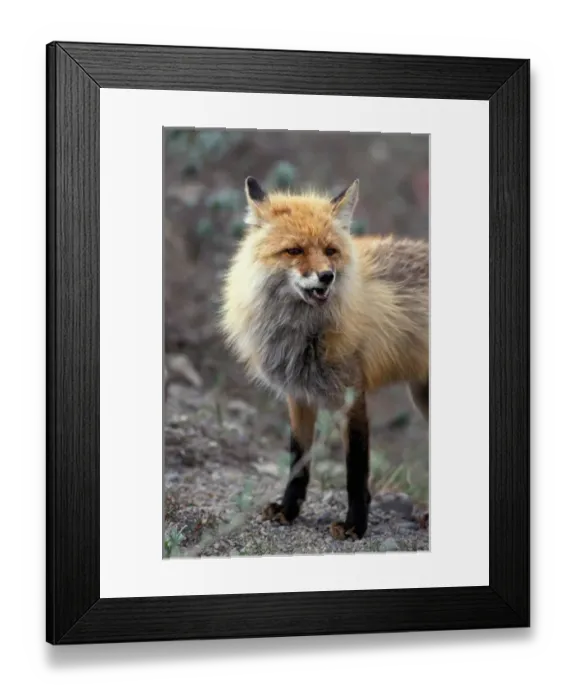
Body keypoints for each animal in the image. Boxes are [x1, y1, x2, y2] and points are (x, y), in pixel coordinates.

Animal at [219, 176, 429, 540]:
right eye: (295, 250)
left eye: (330, 251)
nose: (326, 276)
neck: (305, 333)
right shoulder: (298, 394)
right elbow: (297, 460)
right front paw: (288, 510)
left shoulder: (352, 396)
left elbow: (355, 470)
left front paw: (355, 526)